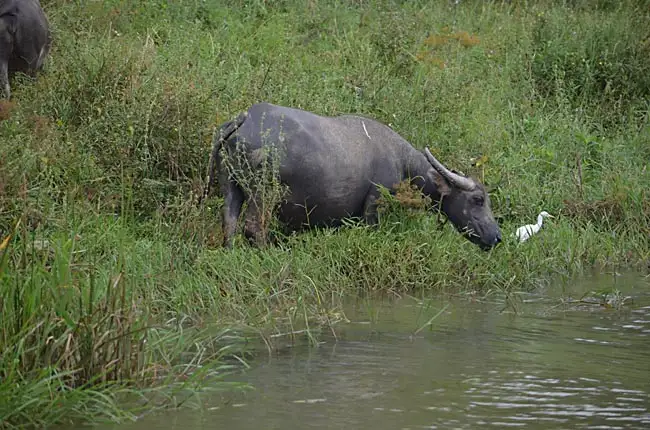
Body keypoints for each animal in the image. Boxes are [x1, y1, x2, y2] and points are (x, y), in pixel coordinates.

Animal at [202, 103, 502, 250]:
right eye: (478, 199)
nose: (497, 237)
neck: (401, 160)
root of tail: (242, 121)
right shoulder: (374, 204)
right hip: (263, 192)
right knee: (254, 227)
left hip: (230, 185)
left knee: (229, 222)